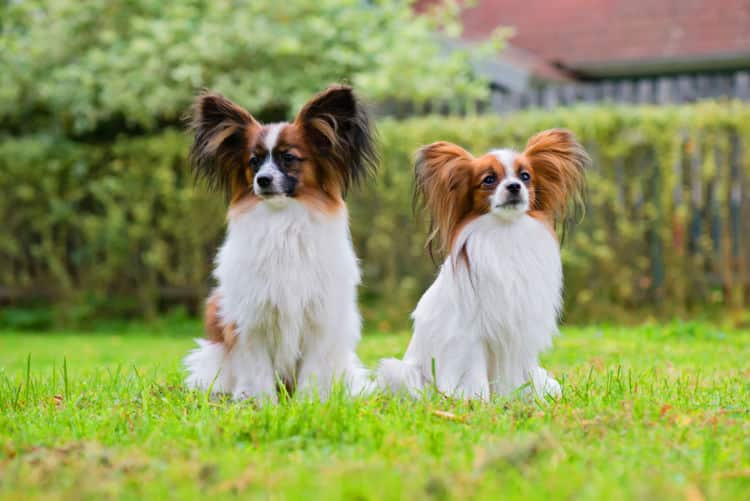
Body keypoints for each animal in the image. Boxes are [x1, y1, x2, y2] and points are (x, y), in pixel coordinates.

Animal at [186, 84, 378, 400]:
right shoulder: (251, 320)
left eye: (289, 158)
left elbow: (312, 371)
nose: (263, 180)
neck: (283, 223)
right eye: (253, 162)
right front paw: (262, 403)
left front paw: (308, 403)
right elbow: (258, 370)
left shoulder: (319, 320)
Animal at [378, 129, 592, 398]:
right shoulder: (471, 335)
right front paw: (479, 402)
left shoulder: (520, 334)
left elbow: (523, 374)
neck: (506, 233)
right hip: (399, 372)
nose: (514, 186)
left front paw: (526, 399)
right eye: (489, 179)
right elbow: (475, 375)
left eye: (525, 176)